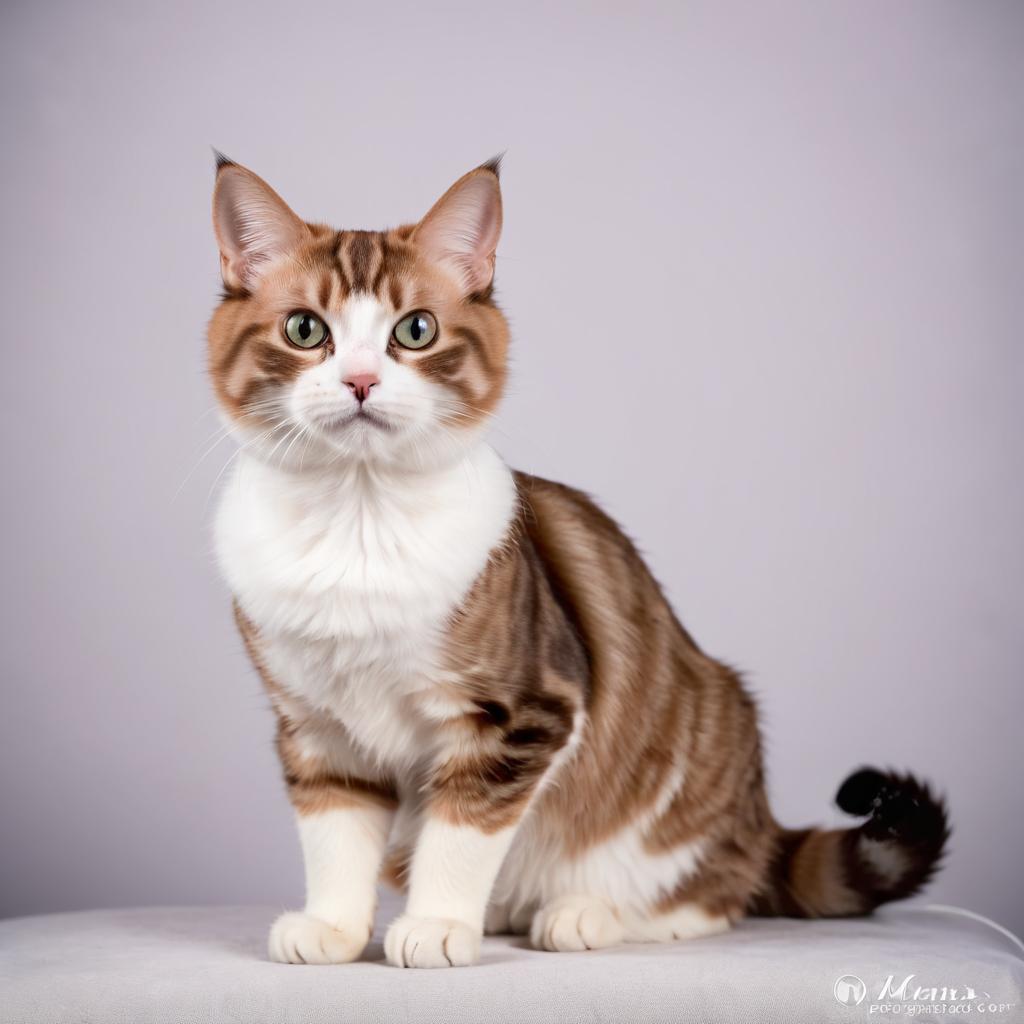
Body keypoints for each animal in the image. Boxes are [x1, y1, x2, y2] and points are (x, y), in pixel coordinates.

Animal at [207, 153, 950, 966]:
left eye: (416, 330)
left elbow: (461, 831)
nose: (362, 380)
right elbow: (335, 835)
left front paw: (437, 925)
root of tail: (759, 821)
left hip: (699, 754)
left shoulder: (520, 717)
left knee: (716, 891)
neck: (359, 518)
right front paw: (335, 927)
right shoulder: (316, 728)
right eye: (306, 329)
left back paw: (585, 914)